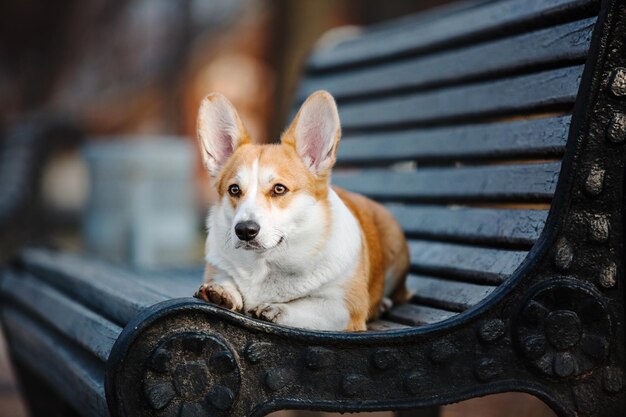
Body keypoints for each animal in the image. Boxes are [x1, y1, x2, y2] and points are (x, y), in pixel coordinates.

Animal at [195, 89, 410, 330]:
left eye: (279, 188)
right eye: (234, 189)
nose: (244, 230)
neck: (265, 264)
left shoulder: (346, 309)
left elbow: (309, 306)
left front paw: (277, 309)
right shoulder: (220, 268)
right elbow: (225, 278)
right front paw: (221, 291)